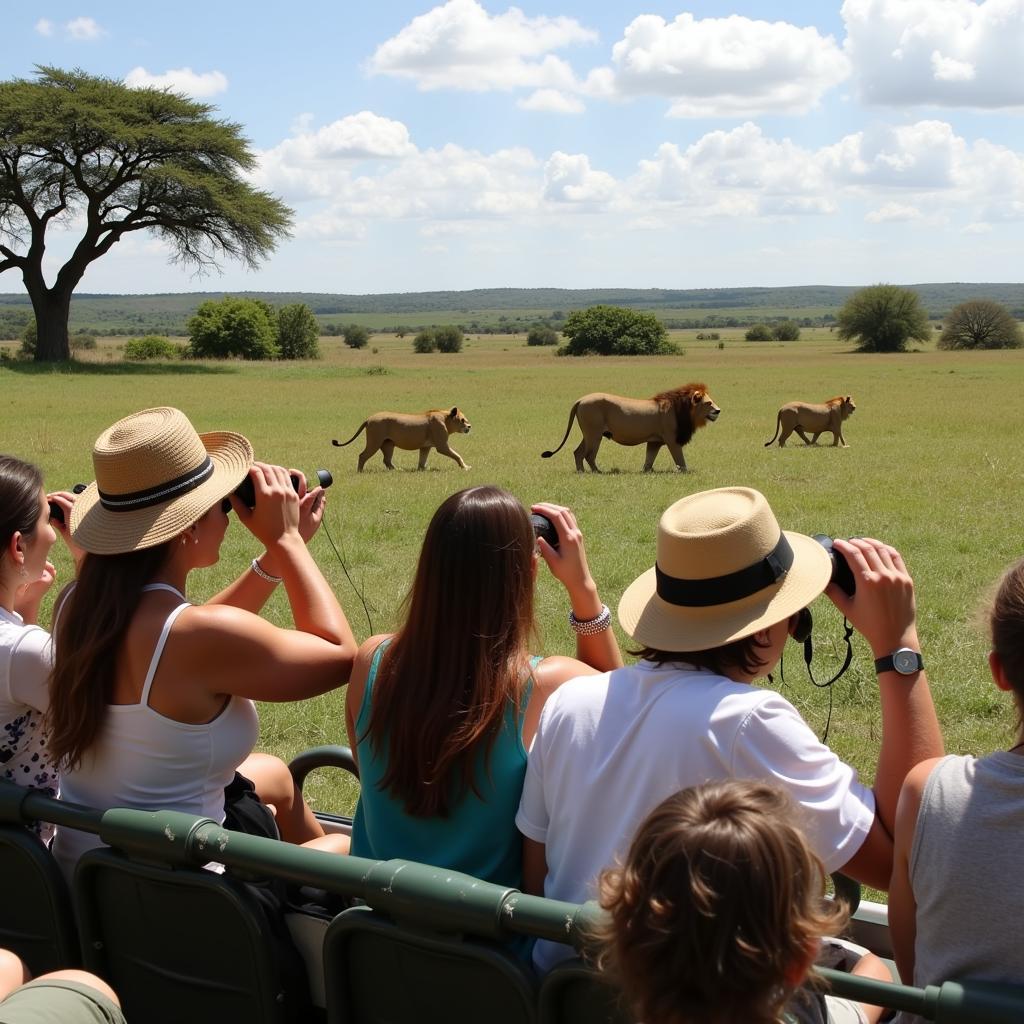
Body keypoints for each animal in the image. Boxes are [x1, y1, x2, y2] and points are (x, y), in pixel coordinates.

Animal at [331, 407, 471, 471]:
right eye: (462, 420)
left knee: (386, 460)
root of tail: (369, 418)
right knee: (362, 455)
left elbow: (422, 460)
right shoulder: (442, 446)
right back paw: (360, 471)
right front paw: (465, 467)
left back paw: (397, 470)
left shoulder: (425, 447)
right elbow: (457, 455)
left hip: (388, 444)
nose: (469, 426)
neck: (446, 419)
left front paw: (423, 469)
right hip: (374, 442)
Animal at [544, 385, 720, 471]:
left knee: (578, 452)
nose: (718, 410)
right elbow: (680, 460)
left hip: (589, 434)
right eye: (708, 403)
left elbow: (649, 459)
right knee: (588, 455)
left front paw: (646, 471)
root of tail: (580, 400)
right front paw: (685, 472)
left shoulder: (654, 441)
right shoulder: (672, 440)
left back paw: (582, 472)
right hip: (594, 434)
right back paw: (596, 472)